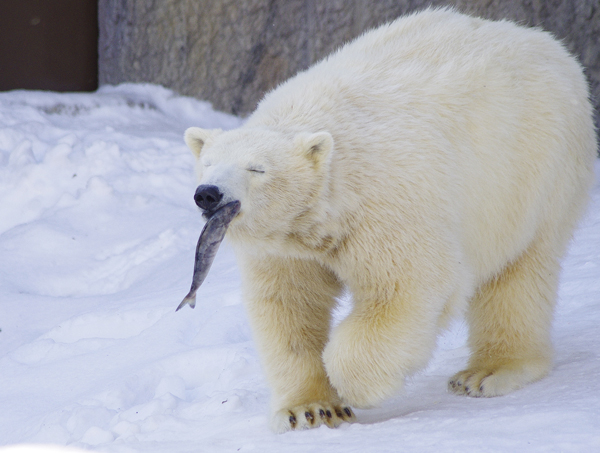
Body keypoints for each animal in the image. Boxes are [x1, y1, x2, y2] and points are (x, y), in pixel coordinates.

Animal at [183, 7, 596, 430]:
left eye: (257, 169)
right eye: (208, 163)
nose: (209, 194)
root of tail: (549, 45)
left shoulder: (386, 201)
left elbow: (406, 288)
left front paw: (352, 385)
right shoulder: (287, 244)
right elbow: (290, 306)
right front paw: (311, 409)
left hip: (533, 173)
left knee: (519, 272)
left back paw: (488, 373)